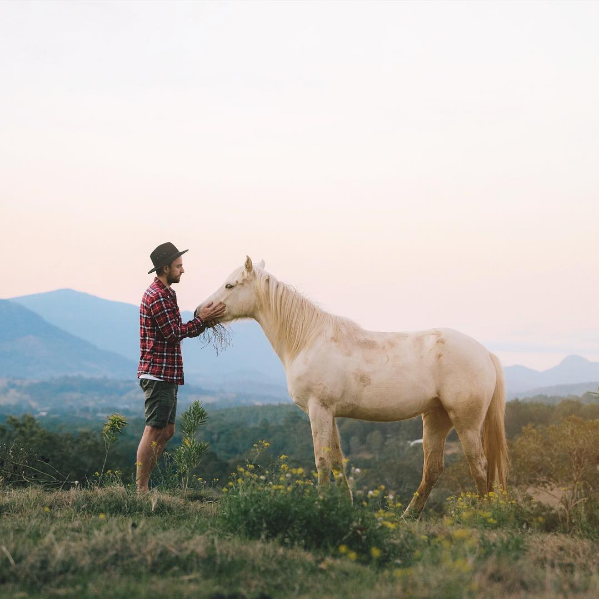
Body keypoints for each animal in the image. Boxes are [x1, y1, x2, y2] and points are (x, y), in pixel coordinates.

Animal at [195, 255, 508, 516]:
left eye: (229, 285)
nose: (200, 310)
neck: (307, 340)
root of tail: (486, 353)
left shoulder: (319, 410)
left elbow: (322, 460)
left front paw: (321, 506)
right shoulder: (330, 413)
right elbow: (337, 461)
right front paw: (345, 505)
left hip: (465, 421)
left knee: (479, 466)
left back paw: (483, 518)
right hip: (436, 418)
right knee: (432, 469)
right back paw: (408, 517)